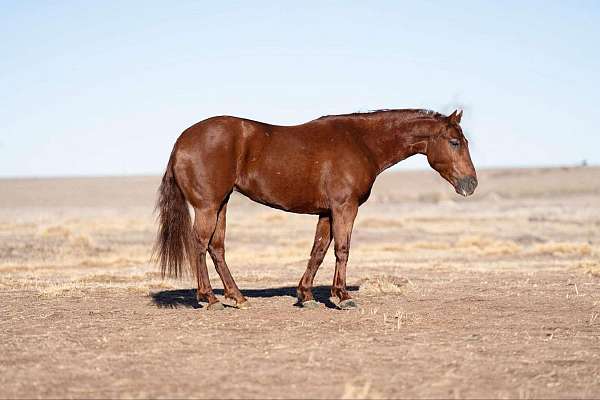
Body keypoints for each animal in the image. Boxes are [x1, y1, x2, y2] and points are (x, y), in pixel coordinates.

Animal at [155, 108, 478, 310]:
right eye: (454, 142)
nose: (471, 184)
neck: (361, 142)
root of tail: (181, 142)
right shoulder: (344, 208)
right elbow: (342, 249)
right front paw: (343, 296)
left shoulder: (326, 212)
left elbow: (319, 250)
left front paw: (306, 295)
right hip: (208, 206)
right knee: (199, 245)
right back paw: (209, 298)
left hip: (221, 205)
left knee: (216, 247)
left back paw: (238, 297)